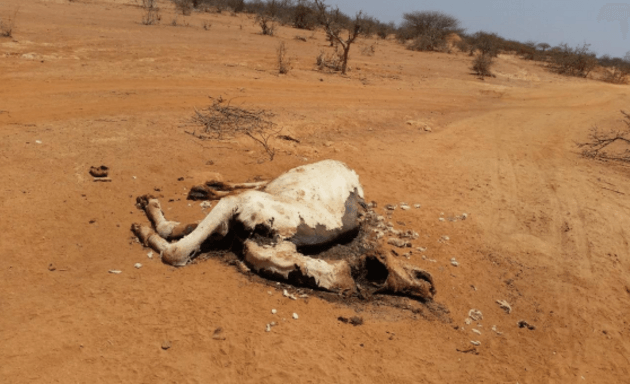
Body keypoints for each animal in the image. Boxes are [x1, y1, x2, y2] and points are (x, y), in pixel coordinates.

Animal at [132, 160, 440, 300]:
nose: (429, 286)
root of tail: (350, 171)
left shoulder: (235, 219)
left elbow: (176, 248)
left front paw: (144, 227)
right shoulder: (242, 213)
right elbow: (180, 237)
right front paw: (148, 215)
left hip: (277, 187)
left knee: (251, 186)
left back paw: (198, 189)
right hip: (288, 178)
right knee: (257, 182)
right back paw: (202, 187)